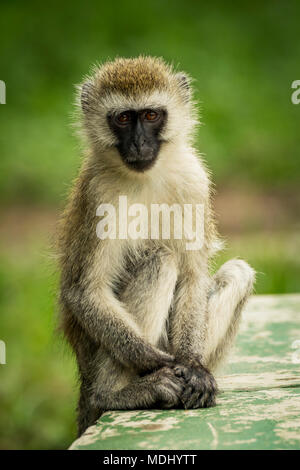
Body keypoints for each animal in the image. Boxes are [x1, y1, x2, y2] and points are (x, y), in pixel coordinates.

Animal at [58, 57, 255, 436]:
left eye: (151, 115)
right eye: (123, 118)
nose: (138, 144)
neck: (145, 177)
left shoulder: (194, 181)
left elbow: (193, 276)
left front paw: (192, 364)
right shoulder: (98, 193)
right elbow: (84, 291)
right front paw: (158, 361)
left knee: (237, 272)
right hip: (93, 357)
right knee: (160, 260)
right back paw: (117, 393)